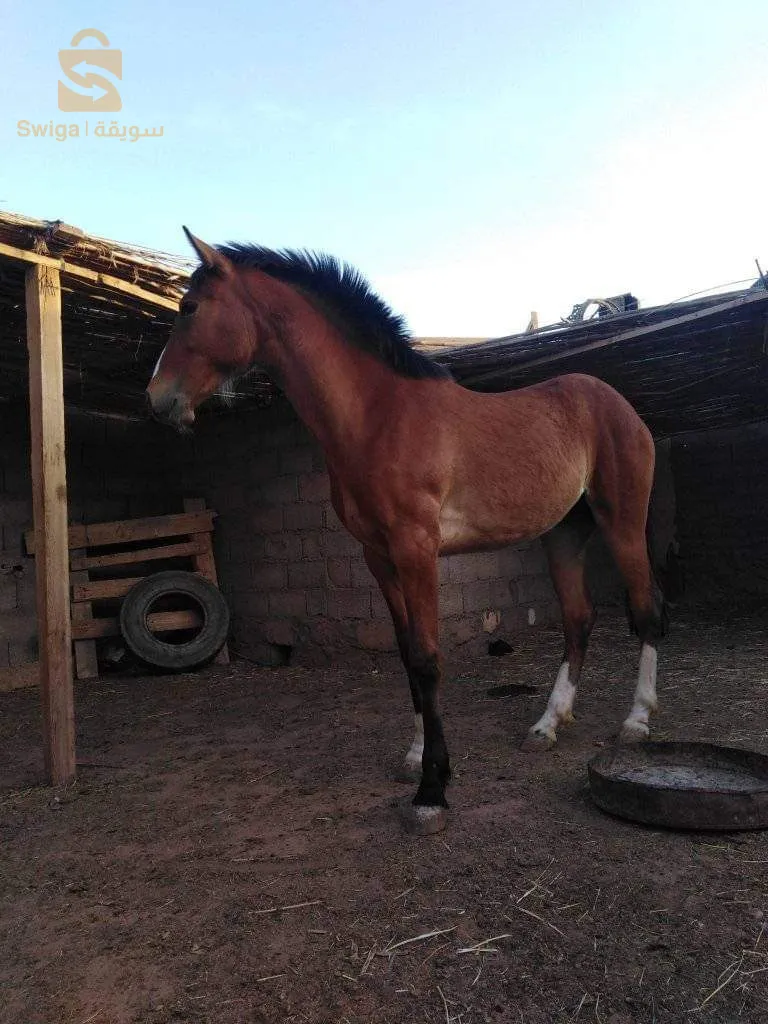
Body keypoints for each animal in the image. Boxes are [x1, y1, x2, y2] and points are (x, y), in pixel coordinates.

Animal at [147, 228, 667, 835]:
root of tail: (617, 403)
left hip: (622, 523)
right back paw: (547, 725)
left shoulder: (417, 549)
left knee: (645, 609)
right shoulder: (379, 556)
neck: (379, 416)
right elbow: (404, 656)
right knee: (579, 619)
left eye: (189, 307)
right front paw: (416, 759)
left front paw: (431, 792)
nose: (158, 400)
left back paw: (636, 722)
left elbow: (426, 656)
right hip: (562, 534)